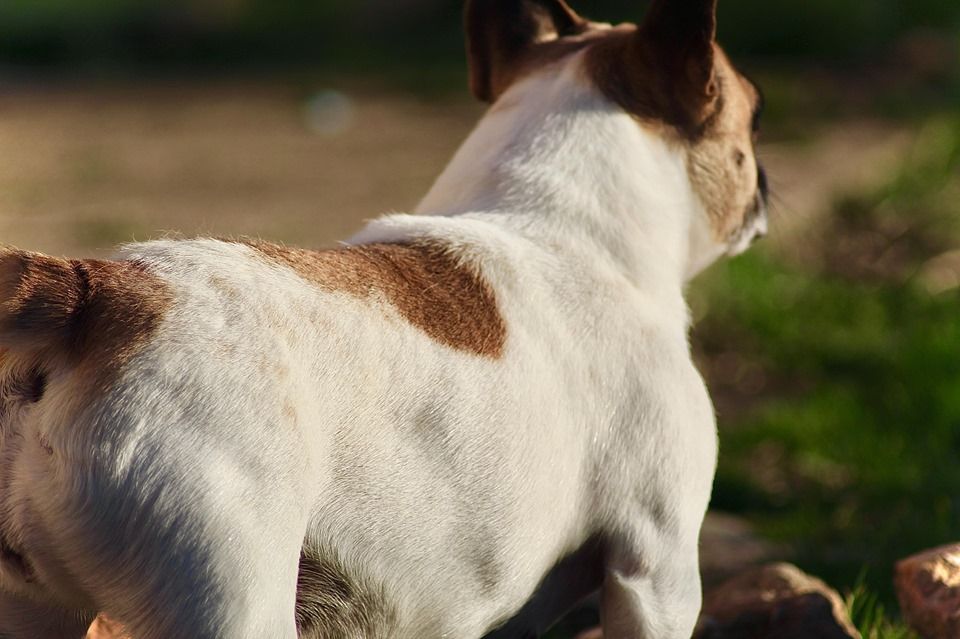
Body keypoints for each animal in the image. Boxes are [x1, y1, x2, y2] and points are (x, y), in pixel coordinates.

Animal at [0, 0, 764, 636]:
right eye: (754, 116)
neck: (559, 224)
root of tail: (98, 292)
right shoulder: (657, 571)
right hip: (229, 598)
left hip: (39, 608)